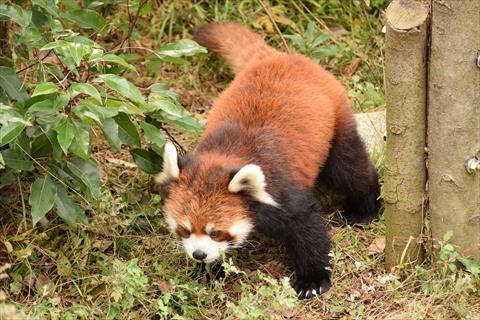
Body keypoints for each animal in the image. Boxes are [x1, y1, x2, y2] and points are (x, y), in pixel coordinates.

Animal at [157, 23, 378, 300]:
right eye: (185, 229)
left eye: (215, 232)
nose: (199, 254)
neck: (226, 154)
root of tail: (280, 57)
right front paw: (210, 273)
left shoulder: (281, 189)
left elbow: (308, 229)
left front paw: (313, 280)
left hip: (335, 120)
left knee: (349, 167)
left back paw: (365, 208)